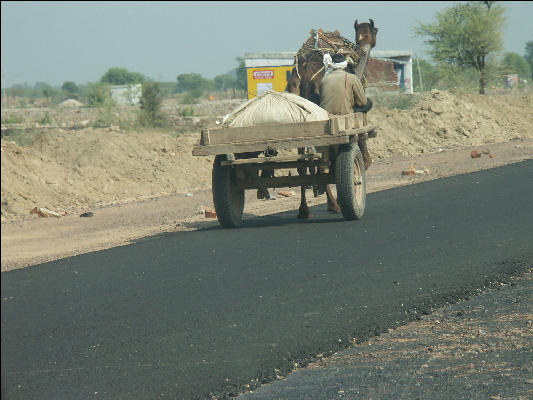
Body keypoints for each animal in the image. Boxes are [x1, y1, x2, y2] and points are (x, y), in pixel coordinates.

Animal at [284, 19, 376, 219]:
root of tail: (305, 76)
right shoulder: (357, 106)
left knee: (304, 165)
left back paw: (304, 210)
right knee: (322, 163)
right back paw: (334, 204)